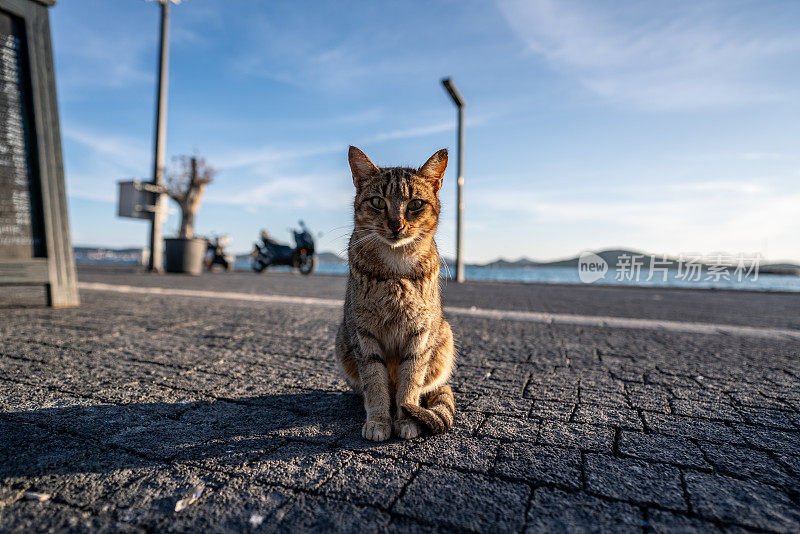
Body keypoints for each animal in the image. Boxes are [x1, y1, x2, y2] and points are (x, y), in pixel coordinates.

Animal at [332, 148, 456, 444]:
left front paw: (406, 420)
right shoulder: (364, 335)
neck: (395, 268)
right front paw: (378, 421)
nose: (396, 225)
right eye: (378, 201)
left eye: (415, 204)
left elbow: (410, 384)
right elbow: (375, 384)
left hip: (444, 337)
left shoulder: (420, 335)